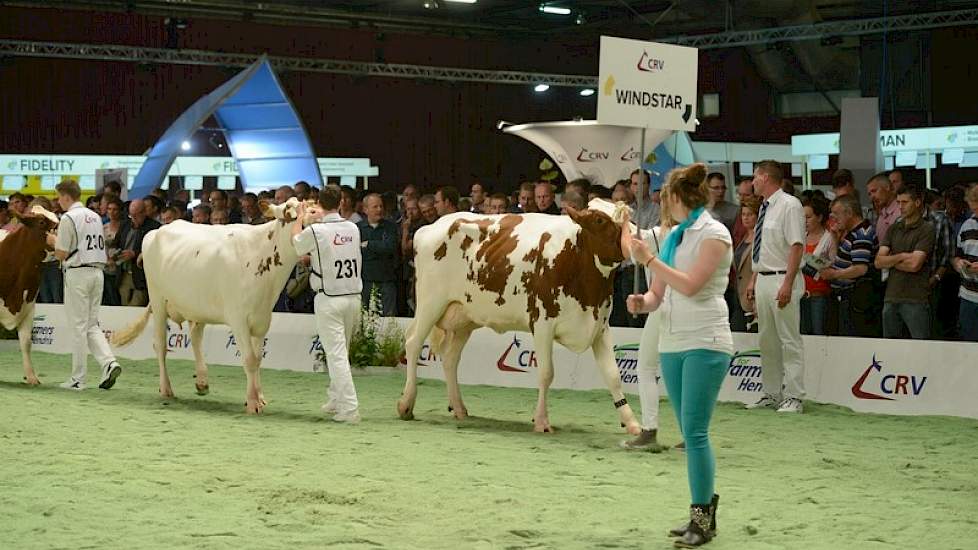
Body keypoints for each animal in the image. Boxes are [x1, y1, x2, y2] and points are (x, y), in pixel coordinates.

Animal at [396, 198, 640, 436]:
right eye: (600, 220)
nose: (636, 236)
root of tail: (430, 227)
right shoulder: (542, 323)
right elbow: (546, 373)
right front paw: (541, 421)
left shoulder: (600, 327)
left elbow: (613, 375)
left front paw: (632, 423)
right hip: (430, 303)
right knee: (413, 342)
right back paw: (406, 404)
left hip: (465, 318)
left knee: (450, 359)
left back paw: (459, 408)